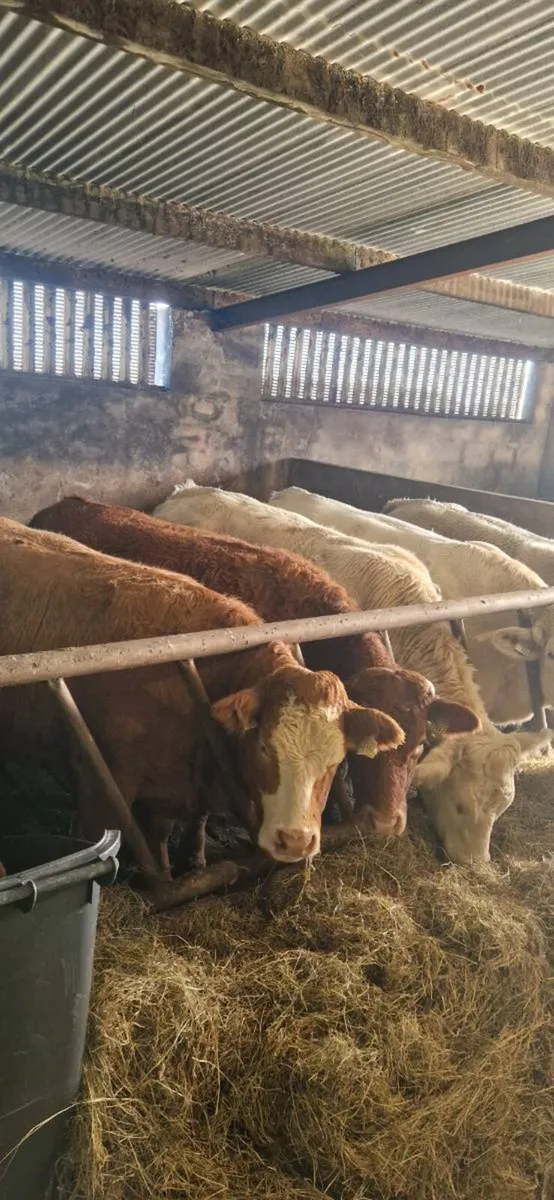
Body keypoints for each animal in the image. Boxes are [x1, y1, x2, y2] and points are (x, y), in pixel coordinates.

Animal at [0, 519, 403, 882]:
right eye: (264, 749)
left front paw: (169, 871)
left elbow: (161, 835)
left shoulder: (172, 782)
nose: (295, 841)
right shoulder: (99, 782)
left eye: (338, 760)